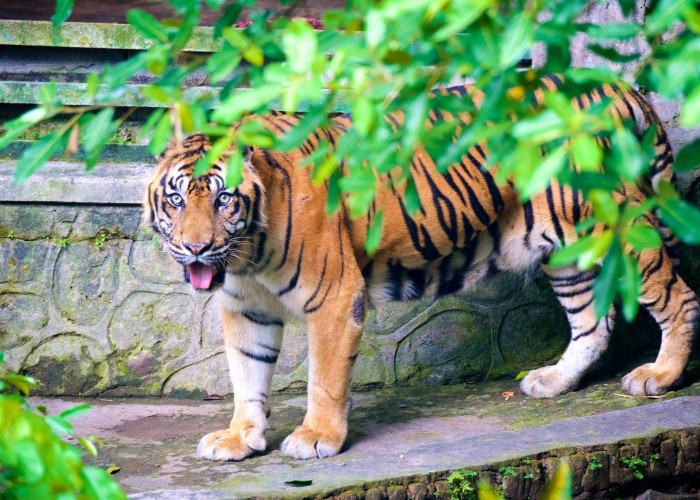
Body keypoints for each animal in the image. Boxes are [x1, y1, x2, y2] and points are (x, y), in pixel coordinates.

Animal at [144, 76, 700, 462]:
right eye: (176, 199)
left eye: (223, 200)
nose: (196, 249)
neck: (247, 256)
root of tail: (620, 86)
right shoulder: (246, 309)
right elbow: (247, 375)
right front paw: (240, 438)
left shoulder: (334, 295)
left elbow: (323, 378)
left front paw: (318, 437)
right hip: (566, 248)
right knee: (592, 322)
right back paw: (553, 382)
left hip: (621, 229)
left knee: (679, 297)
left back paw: (658, 376)